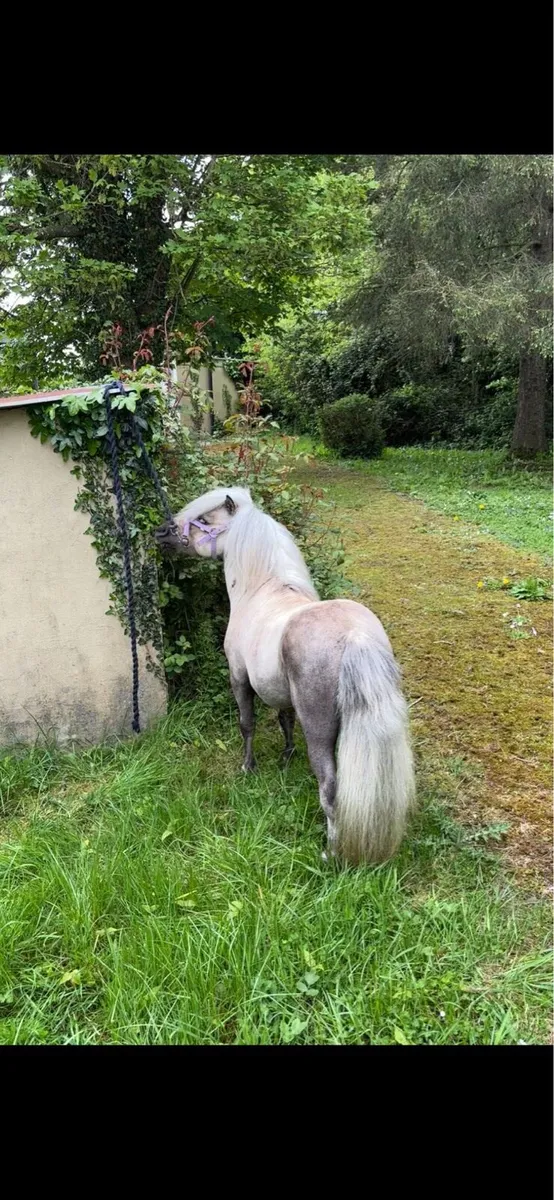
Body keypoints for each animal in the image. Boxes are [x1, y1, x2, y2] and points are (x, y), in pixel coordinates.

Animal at [155, 486, 415, 865]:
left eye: (204, 518)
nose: (161, 533)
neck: (261, 591)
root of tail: (356, 637)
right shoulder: (281, 693)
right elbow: (284, 719)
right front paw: (286, 755)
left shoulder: (239, 679)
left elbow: (247, 724)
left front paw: (248, 767)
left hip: (319, 731)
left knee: (330, 788)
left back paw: (330, 853)